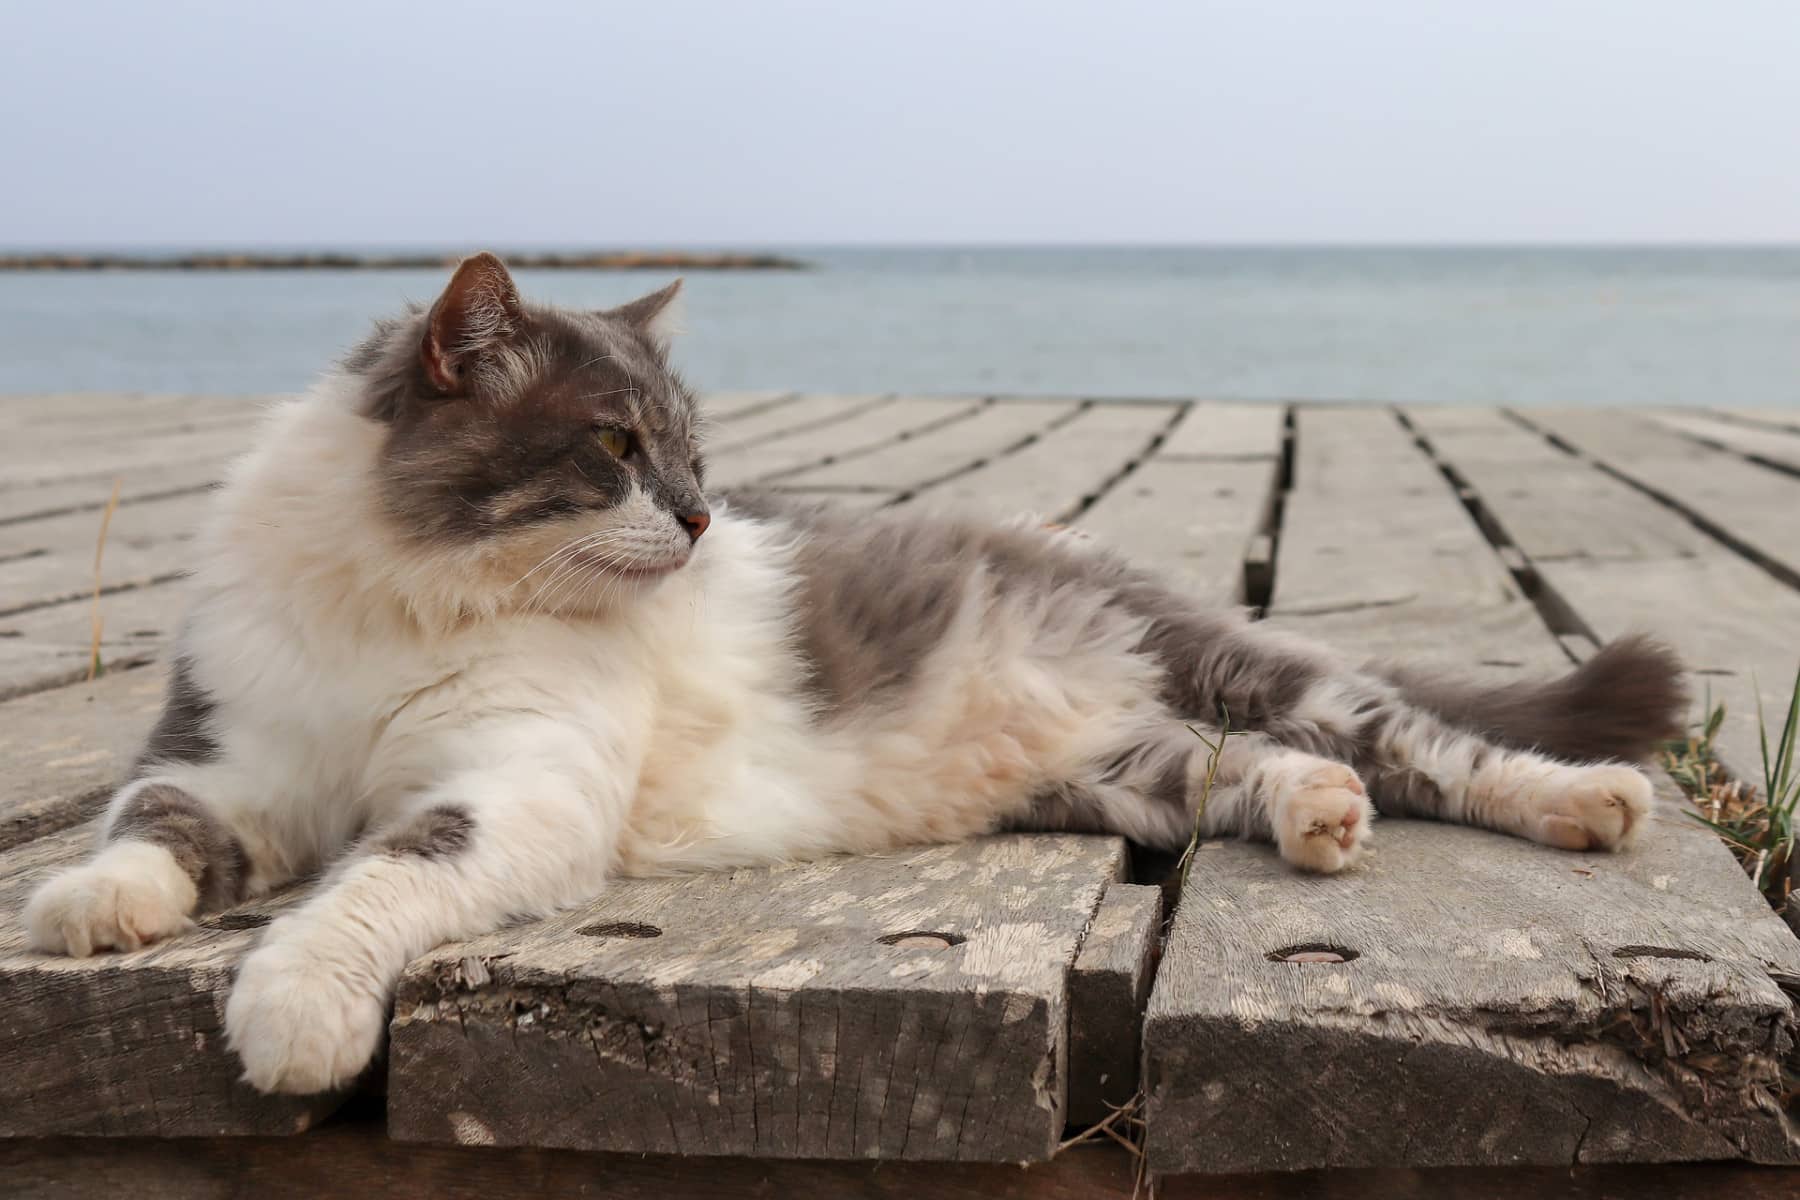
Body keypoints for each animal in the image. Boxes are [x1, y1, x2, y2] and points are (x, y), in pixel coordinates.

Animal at [17, 253, 1684, 1101]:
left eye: (697, 455)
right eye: (619, 446)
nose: (700, 519)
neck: (408, 597)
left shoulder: (515, 785)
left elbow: (374, 875)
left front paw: (294, 1006)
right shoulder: (222, 750)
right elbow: (154, 827)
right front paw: (90, 908)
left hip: (1246, 668)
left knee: (1432, 744)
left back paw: (1585, 801)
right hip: (1126, 774)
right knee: (1262, 771)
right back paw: (1321, 817)